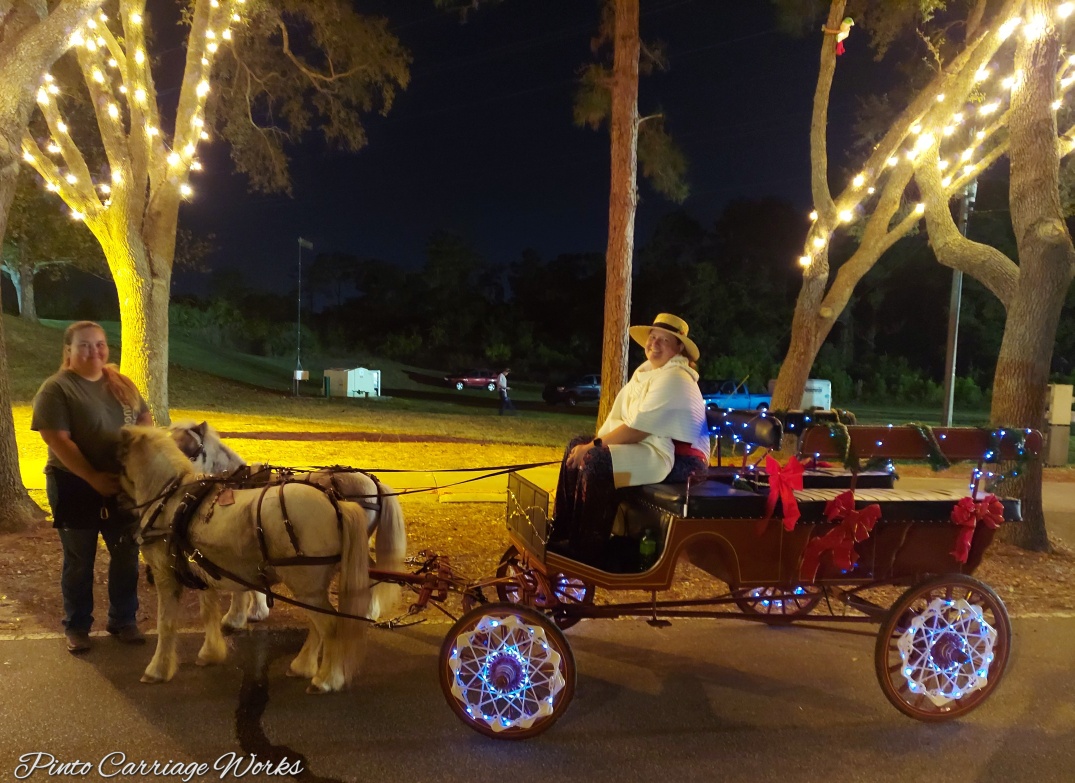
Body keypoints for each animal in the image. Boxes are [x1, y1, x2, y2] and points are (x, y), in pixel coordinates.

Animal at [119, 428, 374, 692]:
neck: (173, 501)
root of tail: (337, 504)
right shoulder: (202, 572)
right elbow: (208, 612)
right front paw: (211, 652)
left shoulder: (165, 574)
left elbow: (166, 623)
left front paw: (157, 670)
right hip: (312, 588)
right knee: (317, 626)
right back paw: (303, 666)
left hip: (307, 587)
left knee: (330, 627)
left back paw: (327, 679)